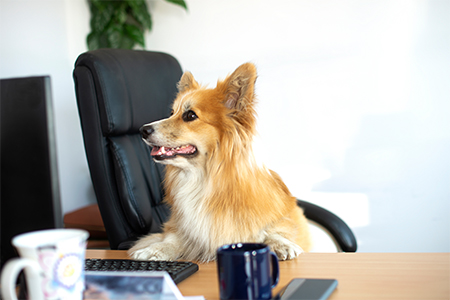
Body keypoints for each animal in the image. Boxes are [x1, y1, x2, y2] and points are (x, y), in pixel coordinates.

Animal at [126, 63, 310, 262]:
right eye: (171, 113)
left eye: (190, 115)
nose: (143, 130)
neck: (204, 179)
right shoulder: (181, 226)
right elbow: (172, 239)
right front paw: (155, 249)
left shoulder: (281, 217)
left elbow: (274, 229)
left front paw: (281, 244)